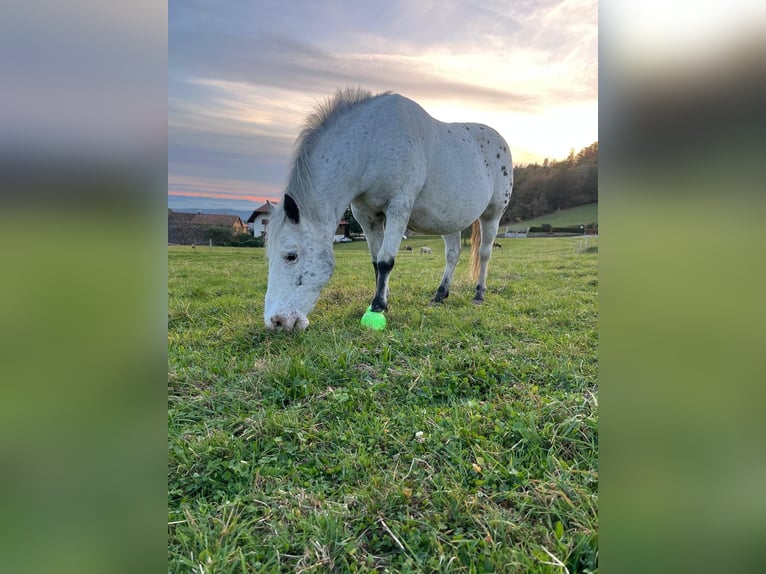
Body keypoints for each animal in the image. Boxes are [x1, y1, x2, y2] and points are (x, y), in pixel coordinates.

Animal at [264, 88, 513, 331]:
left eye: (291, 255)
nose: (276, 322)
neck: (372, 142)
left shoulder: (398, 207)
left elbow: (386, 260)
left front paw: (377, 306)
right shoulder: (367, 216)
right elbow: (376, 262)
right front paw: (384, 299)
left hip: (493, 214)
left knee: (484, 253)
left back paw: (479, 294)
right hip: (450, 220)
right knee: (452, 254)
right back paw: (440, 295)